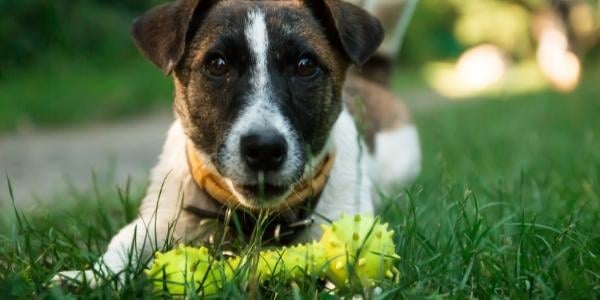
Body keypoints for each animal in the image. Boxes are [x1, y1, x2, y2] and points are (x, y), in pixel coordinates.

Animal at [52, 0, 422, 288]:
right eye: (217, 64)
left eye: (305, 65)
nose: (264, 149)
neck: (253, 218)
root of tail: (371, 79)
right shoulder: (156, 221)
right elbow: (121, 244)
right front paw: (90, 276)